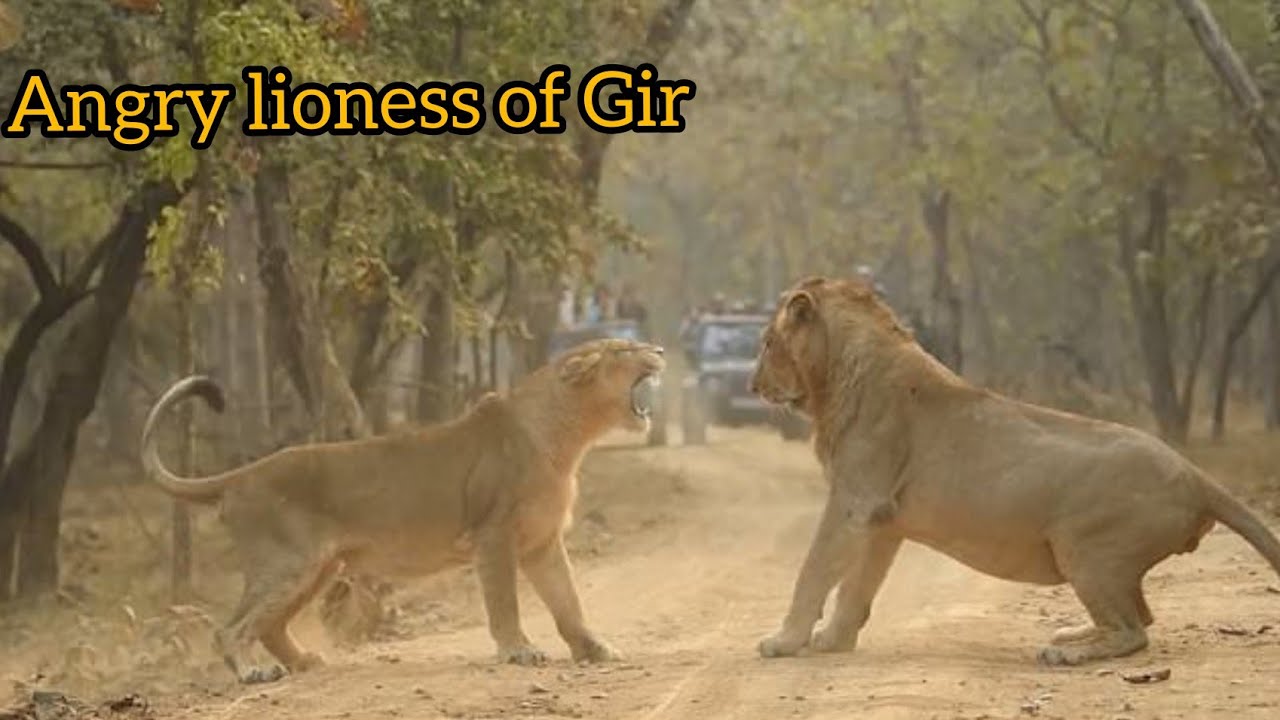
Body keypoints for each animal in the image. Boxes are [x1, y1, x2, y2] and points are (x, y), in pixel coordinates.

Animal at [140, 338, 665, 683]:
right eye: (625, 348)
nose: (659, 350)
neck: (567, 437)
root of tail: (241, 476)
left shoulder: (541, 541)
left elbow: (568, 601)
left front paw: (595, 649)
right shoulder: (493, 535)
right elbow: (504, 602)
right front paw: (519, 650)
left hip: (318, 567)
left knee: (269, 625)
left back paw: (304, 662)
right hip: (288, 563)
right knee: (229, 628)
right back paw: (252, 671)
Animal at [749, 276, 1280, 666]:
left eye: (768, 341)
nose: (753, 385)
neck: (836, 377)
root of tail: (1194, 473)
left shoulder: (854, 502)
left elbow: (814, 570)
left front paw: (783, 640)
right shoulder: (883, 520)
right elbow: (857, 585)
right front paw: (833, 639)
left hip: (1084, 548)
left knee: (1134, 631)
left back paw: (1064, 654)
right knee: (1140, 616)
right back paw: (1071, 633)